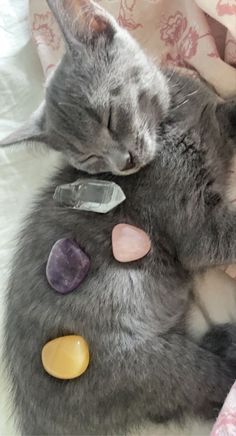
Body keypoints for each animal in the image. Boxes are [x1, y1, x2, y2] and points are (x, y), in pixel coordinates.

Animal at [1, 0, 236, 436]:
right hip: (144, 364)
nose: (123, 163)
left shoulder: (211, 112)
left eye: (109, 117)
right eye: (89, 159)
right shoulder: (199, 231)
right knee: (207, 386)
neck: (172, 124)